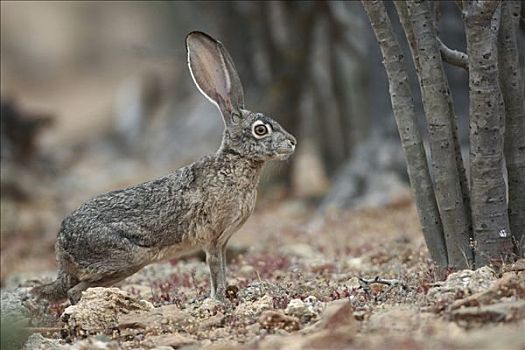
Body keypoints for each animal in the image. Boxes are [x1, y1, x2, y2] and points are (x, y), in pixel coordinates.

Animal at [31, 31, 294, 304]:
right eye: (260, 130)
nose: (293, 142)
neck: (235, 161)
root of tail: (61, 246)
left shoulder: (223, 240)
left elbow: (222, 268)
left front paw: (225, 299)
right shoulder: (212, 237)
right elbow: (215, 269)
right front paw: (218, 301)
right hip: (126, 258)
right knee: (74, 291)